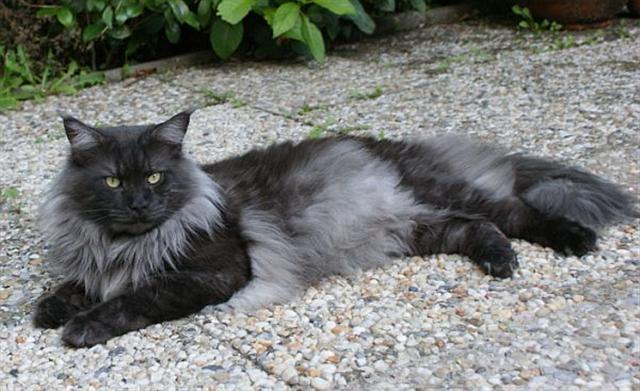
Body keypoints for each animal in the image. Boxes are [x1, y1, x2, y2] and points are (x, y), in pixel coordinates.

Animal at [31, 111, 640, 350]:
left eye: (156, 176)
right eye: (113, 182)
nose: (139, 203)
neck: (126, 243)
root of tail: (405, 145)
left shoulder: (215, 271)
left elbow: (136, 298)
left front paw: (83, 326)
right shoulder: (100, 262)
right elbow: (74, 287)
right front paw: (51, 307)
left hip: (439, 196)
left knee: (514, 212)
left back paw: (572, 240)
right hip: (418, 226)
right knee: (480, 227)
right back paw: (498, 259)